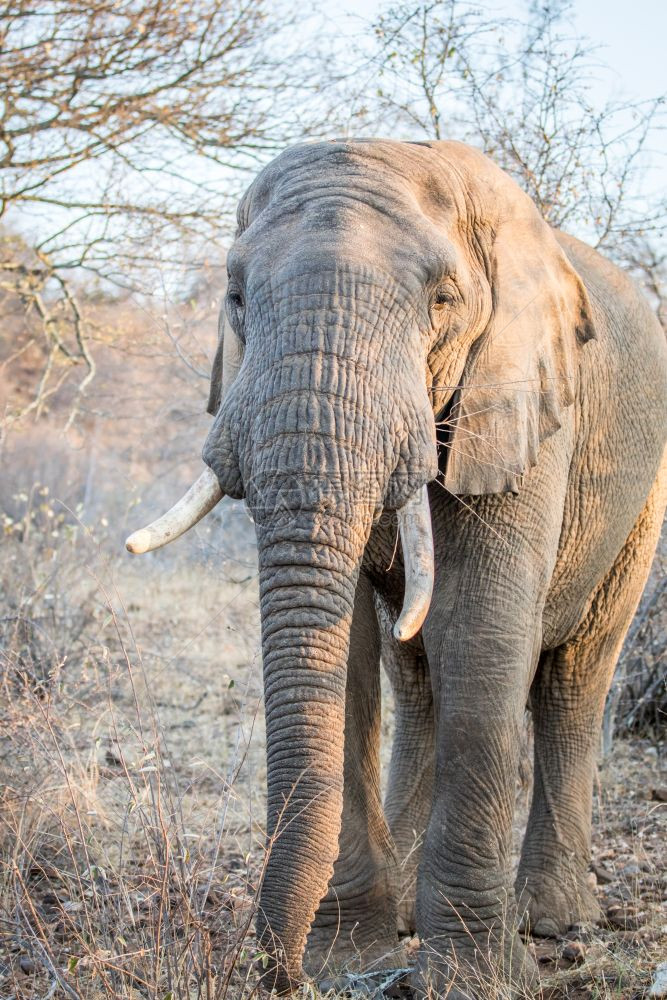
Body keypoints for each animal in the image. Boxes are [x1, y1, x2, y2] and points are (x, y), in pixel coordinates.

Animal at [126, 137, 667, 996]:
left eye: (441, 302)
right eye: (236, 297)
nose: (274, 972)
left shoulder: (520, 401)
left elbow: (480, 630)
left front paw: (473, 979)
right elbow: (347, 649)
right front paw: (351, 960)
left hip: (640, 498)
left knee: (573, 677)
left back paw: (551, 920)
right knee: (415, 675)